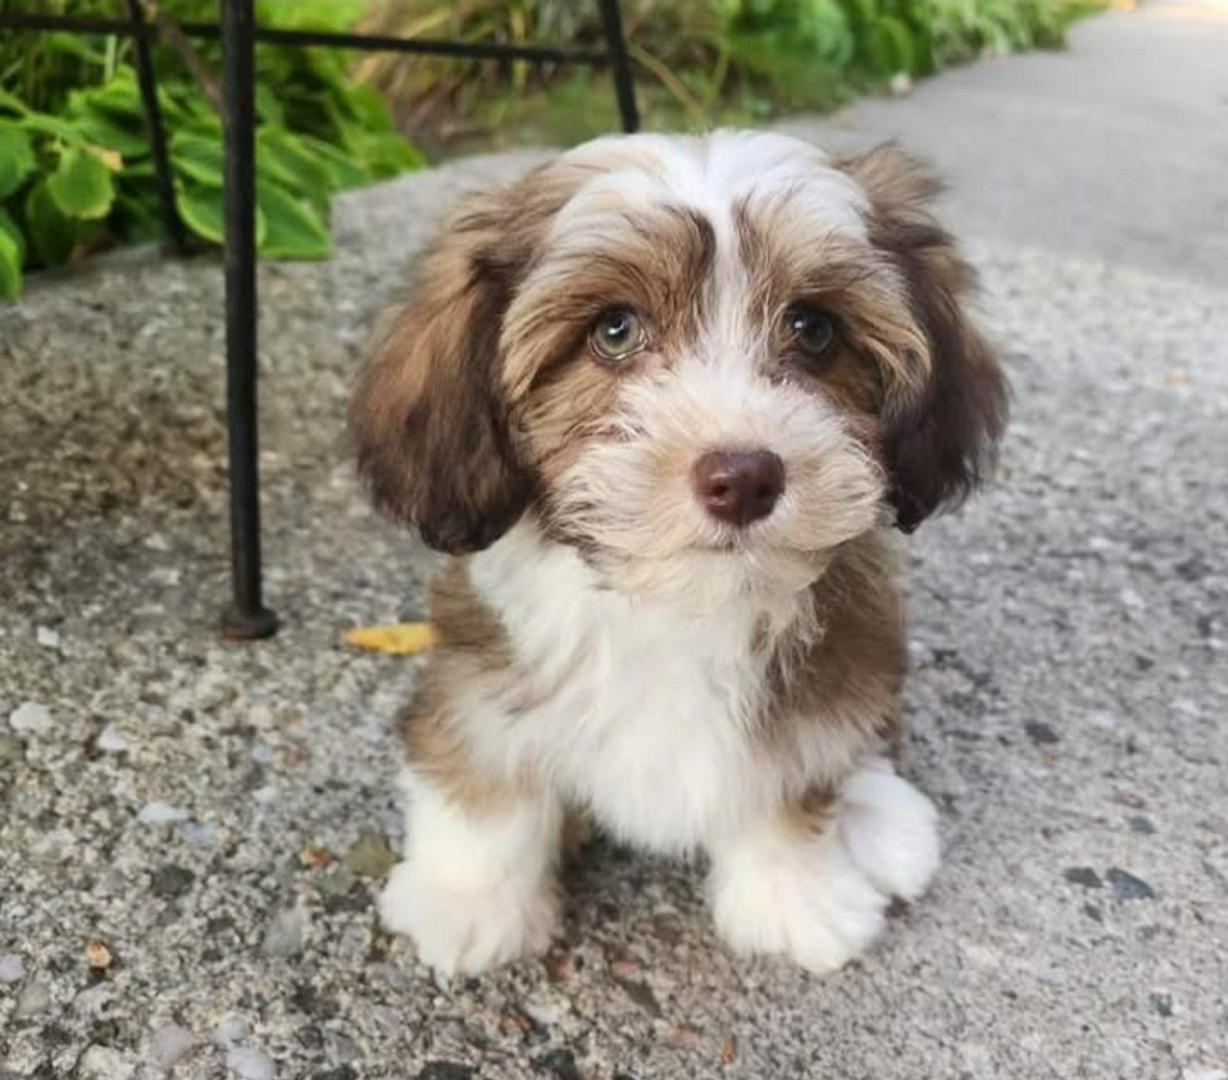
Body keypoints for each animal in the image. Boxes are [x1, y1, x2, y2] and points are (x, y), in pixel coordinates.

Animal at [350, 131, 1007, 976]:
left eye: (815, 329)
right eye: (615, 330)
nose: (744, 478)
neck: (681, 605)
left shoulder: (820, 687)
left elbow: (791, 779)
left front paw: (795, 899)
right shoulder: (482, 675)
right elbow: (487, 775)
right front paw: (469, 902)